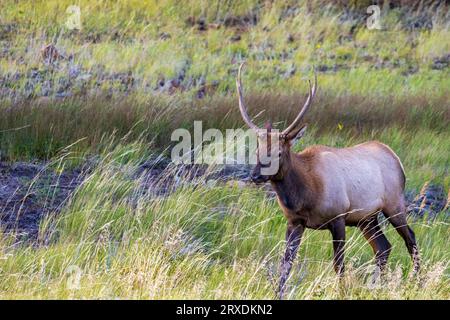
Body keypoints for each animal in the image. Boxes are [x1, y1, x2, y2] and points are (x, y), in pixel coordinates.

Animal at [237, 62, 420, 298]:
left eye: (278, 152)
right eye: (257, 150)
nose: (255, 175)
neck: (306, 193)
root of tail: (396, 158)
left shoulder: (338, 216)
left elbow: (338, 264)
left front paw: (341, 291)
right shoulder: (295, 221)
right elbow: (285, 264)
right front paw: (278, 293)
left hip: (394, 204)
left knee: (410, 239)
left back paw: (418, 282)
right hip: (366, 218)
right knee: (383, 247)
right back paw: (377, 286)